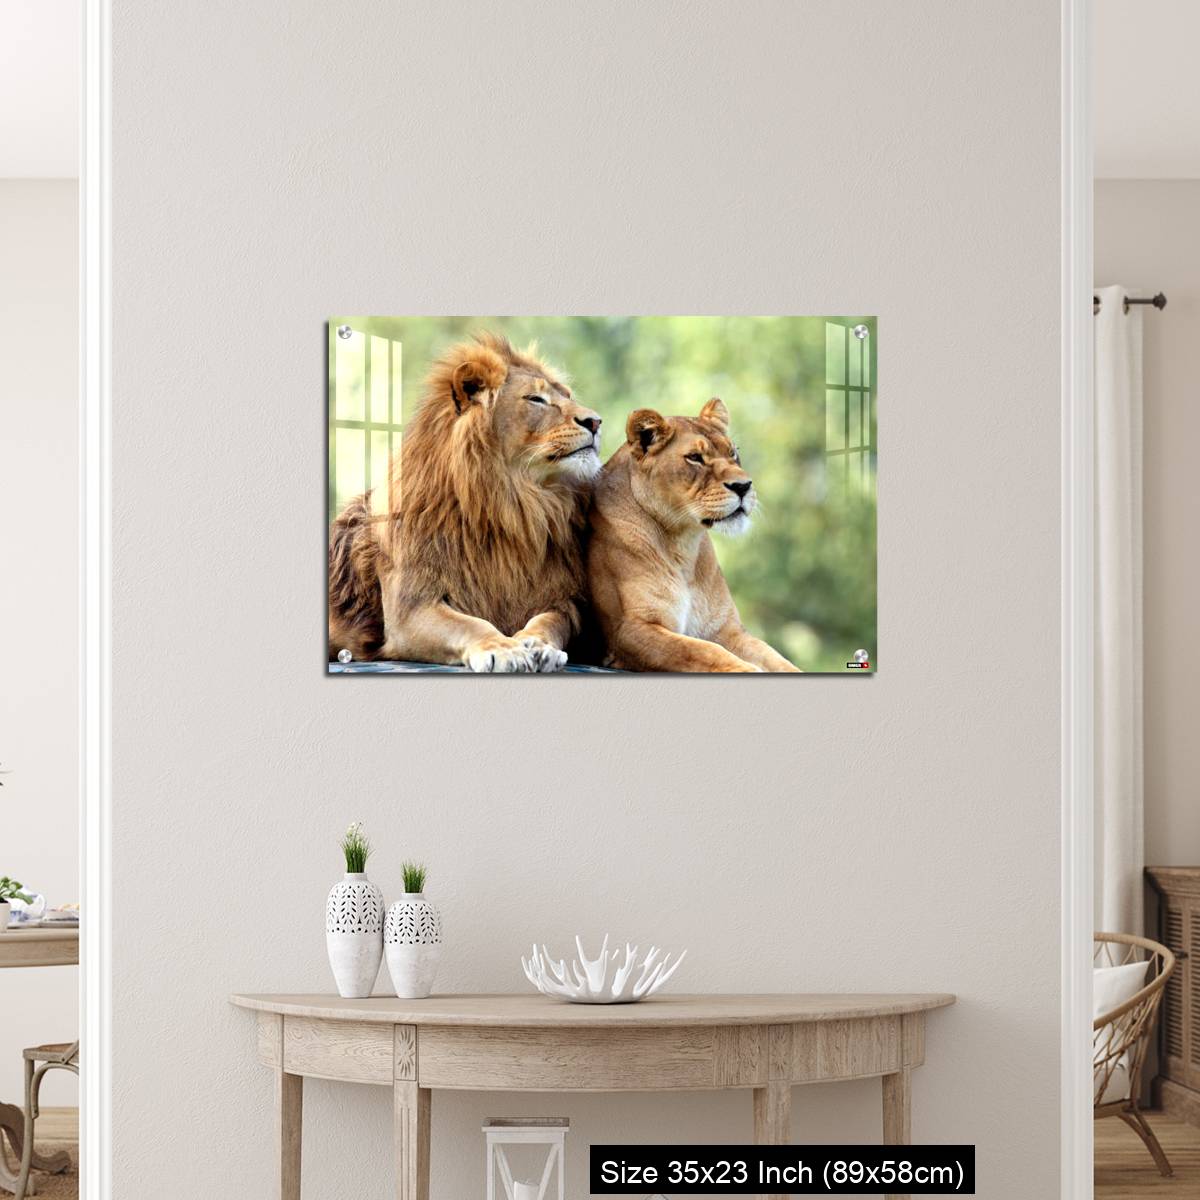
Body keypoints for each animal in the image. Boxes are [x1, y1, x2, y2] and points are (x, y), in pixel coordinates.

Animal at [328, 333, 602, 672]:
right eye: (536, 399)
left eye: (568, 395)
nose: (596, 422)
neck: (514, 506)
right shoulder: (410, 609)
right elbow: (470, 624)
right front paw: (504, 648)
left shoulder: (563, 600)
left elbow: (550, 621)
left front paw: (539, 645)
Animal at [587, 398, 800, 673]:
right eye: (695, 458)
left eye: (733, 453)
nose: (744, 486)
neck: (683, 544)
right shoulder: (630, 630)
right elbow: (702, 650)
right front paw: (746, 669)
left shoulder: (726, 629)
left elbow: (774, 657)